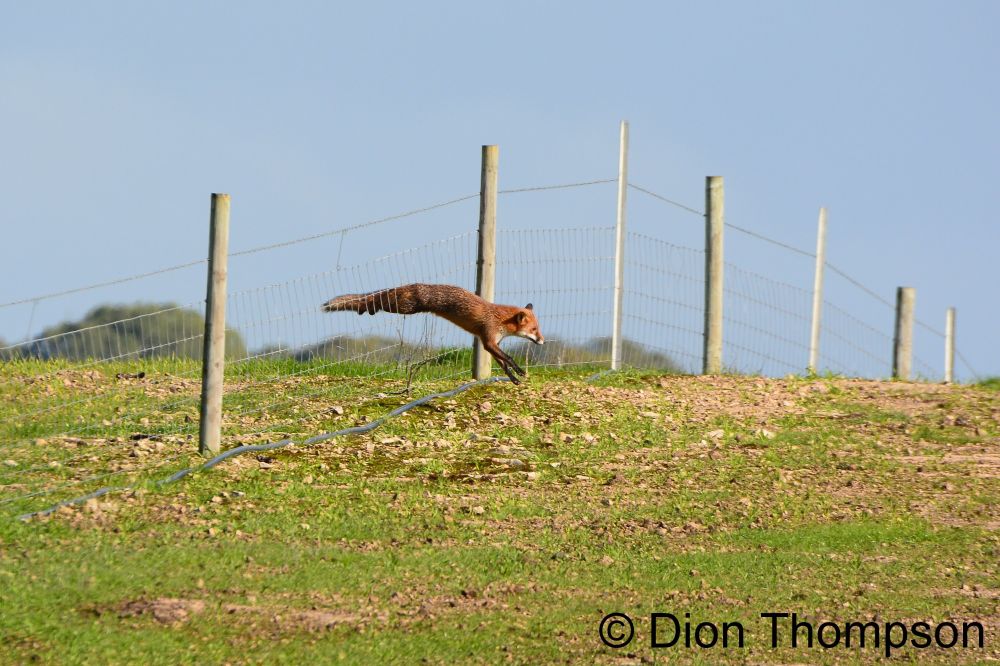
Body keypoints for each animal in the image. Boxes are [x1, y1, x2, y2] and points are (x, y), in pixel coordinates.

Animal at [322, 283, 543, 385]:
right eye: (534, 330)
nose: (542, 340)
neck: (498, 318)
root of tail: (413, 285)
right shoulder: (488, 339)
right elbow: (509, 358)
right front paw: (520, 371)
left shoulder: (490, 343)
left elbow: (504, 364)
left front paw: (514, 378)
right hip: (405, 306)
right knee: (380, 299)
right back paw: (365, 305)